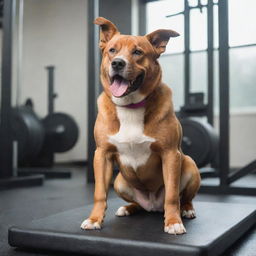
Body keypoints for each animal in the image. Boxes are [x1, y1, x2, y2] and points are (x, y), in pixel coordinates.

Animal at [81, 17, 201, 235]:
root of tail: (153, 206)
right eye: (112, 50)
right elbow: (99, 193)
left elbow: (172, 195)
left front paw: (173, 222)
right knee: (138, 204)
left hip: (189, 165)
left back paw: (186, 210)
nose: (117, 63)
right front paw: (95, 219)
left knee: (184, 198)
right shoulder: (102, 155)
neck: (130, 106)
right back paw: (128, 208)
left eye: (138, 52)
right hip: (119, 181)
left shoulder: (171, 154)